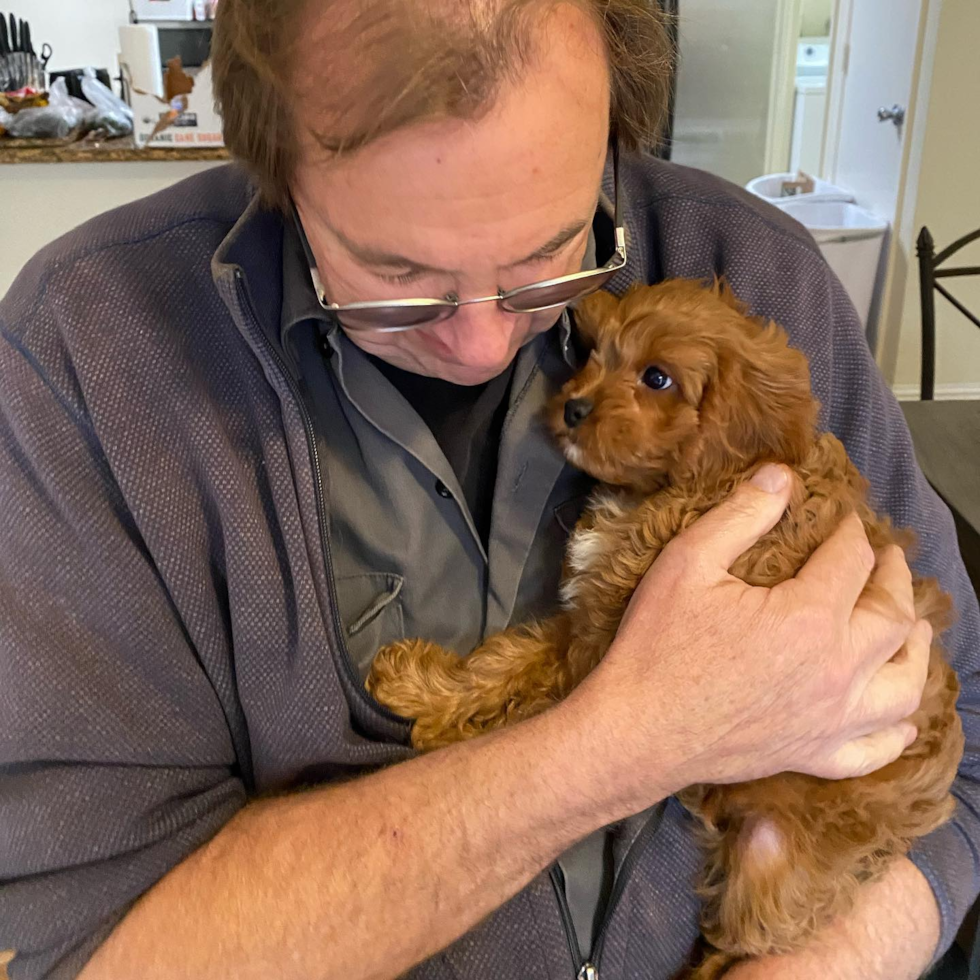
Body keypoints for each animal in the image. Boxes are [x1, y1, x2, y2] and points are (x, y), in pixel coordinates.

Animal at [370, 278, 964, 980]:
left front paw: (446, 729)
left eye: (657, 378)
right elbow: (507, 661)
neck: (674, 492)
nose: (573, 408)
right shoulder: (589, 621)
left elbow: (529, 698)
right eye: (595, 353)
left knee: (750, 940)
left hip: (773, 868)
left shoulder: (602, 652)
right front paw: (420, 687)